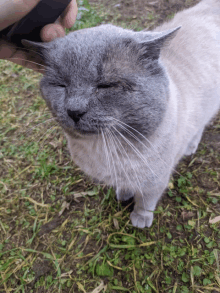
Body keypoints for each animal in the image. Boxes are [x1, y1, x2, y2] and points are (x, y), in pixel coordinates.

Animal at [22, 0, 220, 228]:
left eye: (106, 85)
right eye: (61, 85)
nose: (74, 111)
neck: (107, 148)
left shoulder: (155, 181)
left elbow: (145, 201)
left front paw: (140, 219)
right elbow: (125, 186)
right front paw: (123, 194)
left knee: (200, 128)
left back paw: (190, 148)